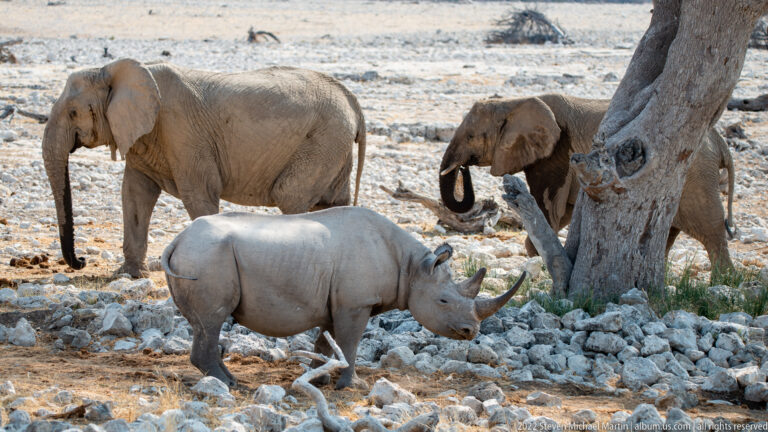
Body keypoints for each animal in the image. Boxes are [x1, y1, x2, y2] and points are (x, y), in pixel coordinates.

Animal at [42, 58, 366, 278]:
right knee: (332, 204)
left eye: (73, 112)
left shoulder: (183, 132)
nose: (81, 262)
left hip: (323, 139)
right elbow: (135, 194)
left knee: (291, 195)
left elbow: (199, 195)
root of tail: (352, 100)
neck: (113, 69)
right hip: (333, 144)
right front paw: (128, 275)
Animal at [162, 206, 528, 388]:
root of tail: (178, 239)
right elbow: (350, 343)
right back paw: (231, 385)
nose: (471, 332)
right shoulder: (356, 303)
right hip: (207, 256)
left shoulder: (335, 303)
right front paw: (350, 386)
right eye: (444, 302)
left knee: (202, 324)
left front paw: (320, 379)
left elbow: (327, 342)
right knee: (213, 320)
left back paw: (228, 380)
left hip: (201, 255)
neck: (412, 268)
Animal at [439, 94, 735, 270]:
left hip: (696, 174)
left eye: (471, 137)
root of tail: (720, 141)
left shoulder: (557, 151)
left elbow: (549, 206)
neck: (513, 102)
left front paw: (537, 256)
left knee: (711, 228)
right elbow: (565, 211)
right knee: (667, 233)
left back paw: (724, 281)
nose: (463, 167)